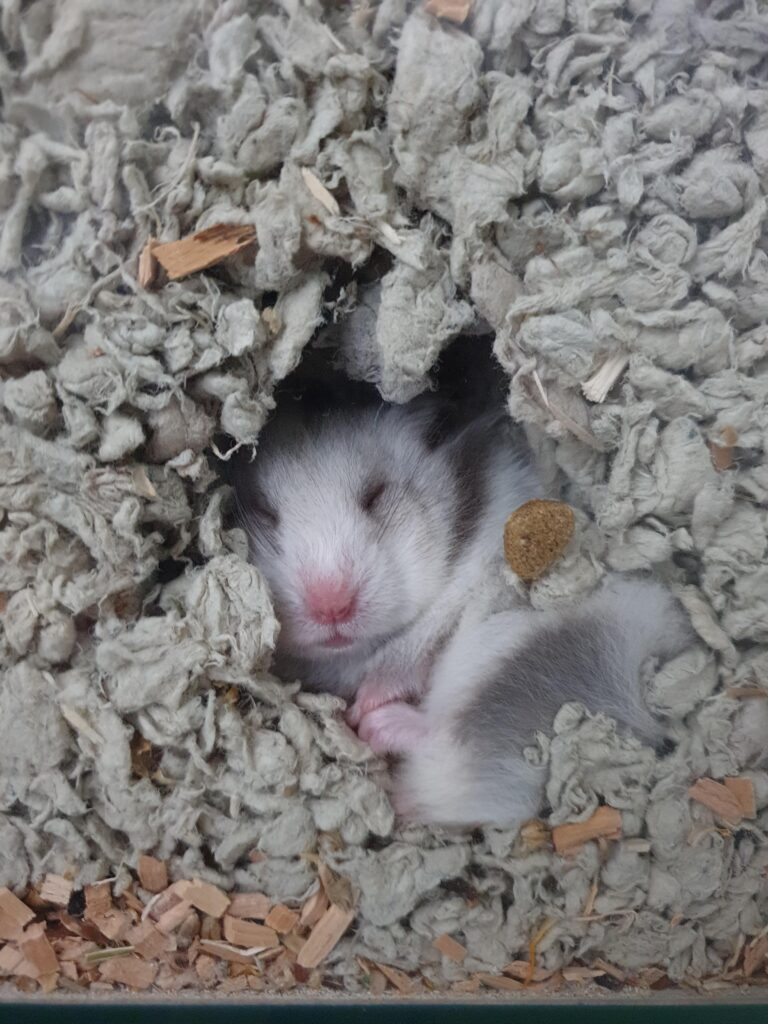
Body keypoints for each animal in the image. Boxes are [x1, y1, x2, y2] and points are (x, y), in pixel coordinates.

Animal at [232, 396, 691, 827]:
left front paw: (360, 706)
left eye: (374, 496)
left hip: (506, 653)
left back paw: (376, 728)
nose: (331, 607)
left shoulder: (471, 575)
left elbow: (413, 647)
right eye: (263, 511)